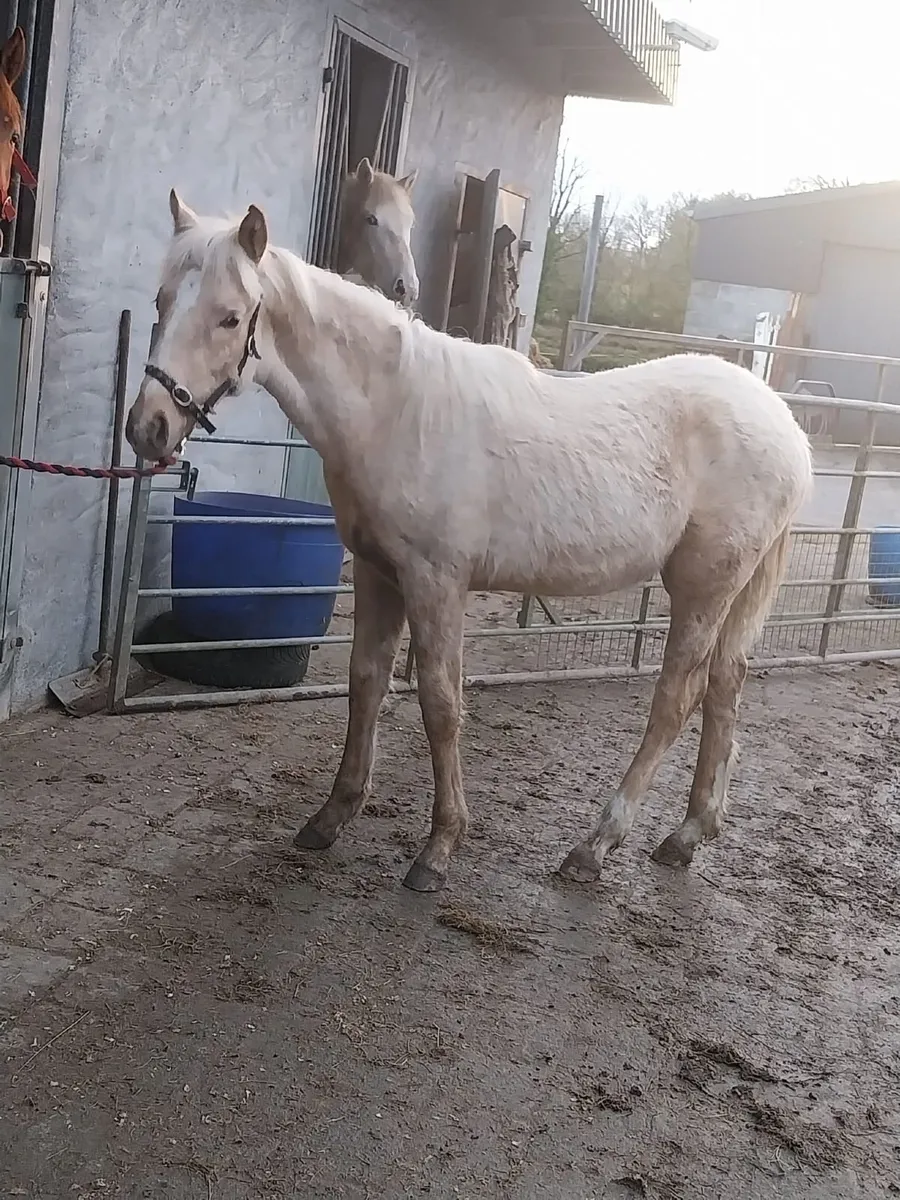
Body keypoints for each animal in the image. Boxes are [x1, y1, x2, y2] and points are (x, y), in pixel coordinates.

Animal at [126, 198, 813, 894]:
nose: (147, 427)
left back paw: (595, 846)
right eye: (160, 300)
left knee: (676, 700)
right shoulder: (378, 573)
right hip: (733, 590)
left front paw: (439, 848)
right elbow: (366, 682)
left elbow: (440, 702)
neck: (397, 409)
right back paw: (689, 833)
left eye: (229, 316)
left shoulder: (436, 581)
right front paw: (332, 817)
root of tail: (783, 423)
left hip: (702, 587)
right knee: (725, 686)